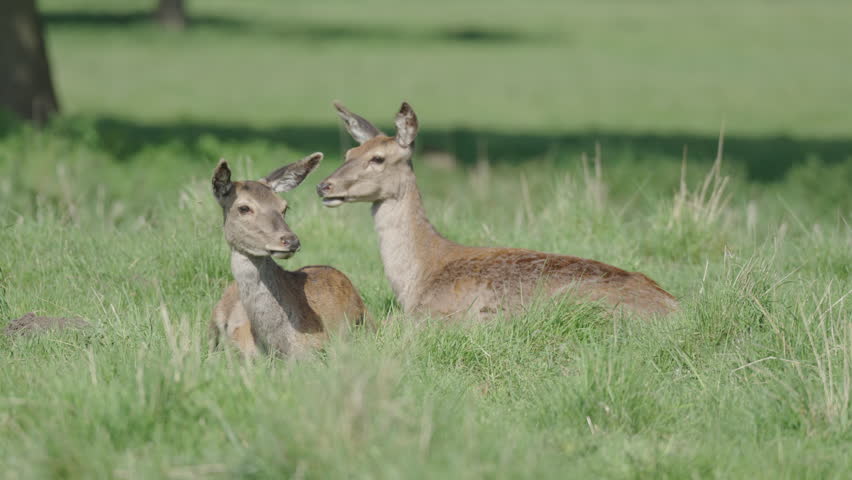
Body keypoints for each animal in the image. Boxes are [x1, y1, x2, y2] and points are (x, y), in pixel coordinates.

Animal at [316, 102, 679, 319]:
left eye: (377, 158)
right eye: (349, 152)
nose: (324, 186)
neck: (416, 280)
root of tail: (675, 308)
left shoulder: (438, 317)